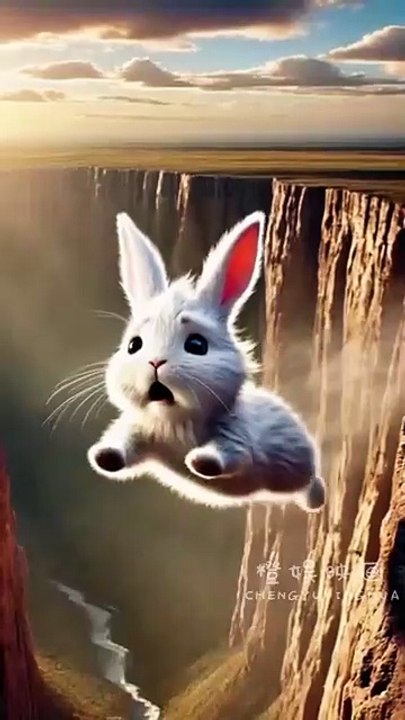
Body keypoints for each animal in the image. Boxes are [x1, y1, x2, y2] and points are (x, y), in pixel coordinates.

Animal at [87, 211, 326, 512]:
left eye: (197, 345)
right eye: (134, 345)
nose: (155, 362)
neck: (175, 423)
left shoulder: (236, 435)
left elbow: (229, 454)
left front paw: (198, 461)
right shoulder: (141, 429)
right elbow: (124, 443)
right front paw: (103, 456)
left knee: (312, 483)